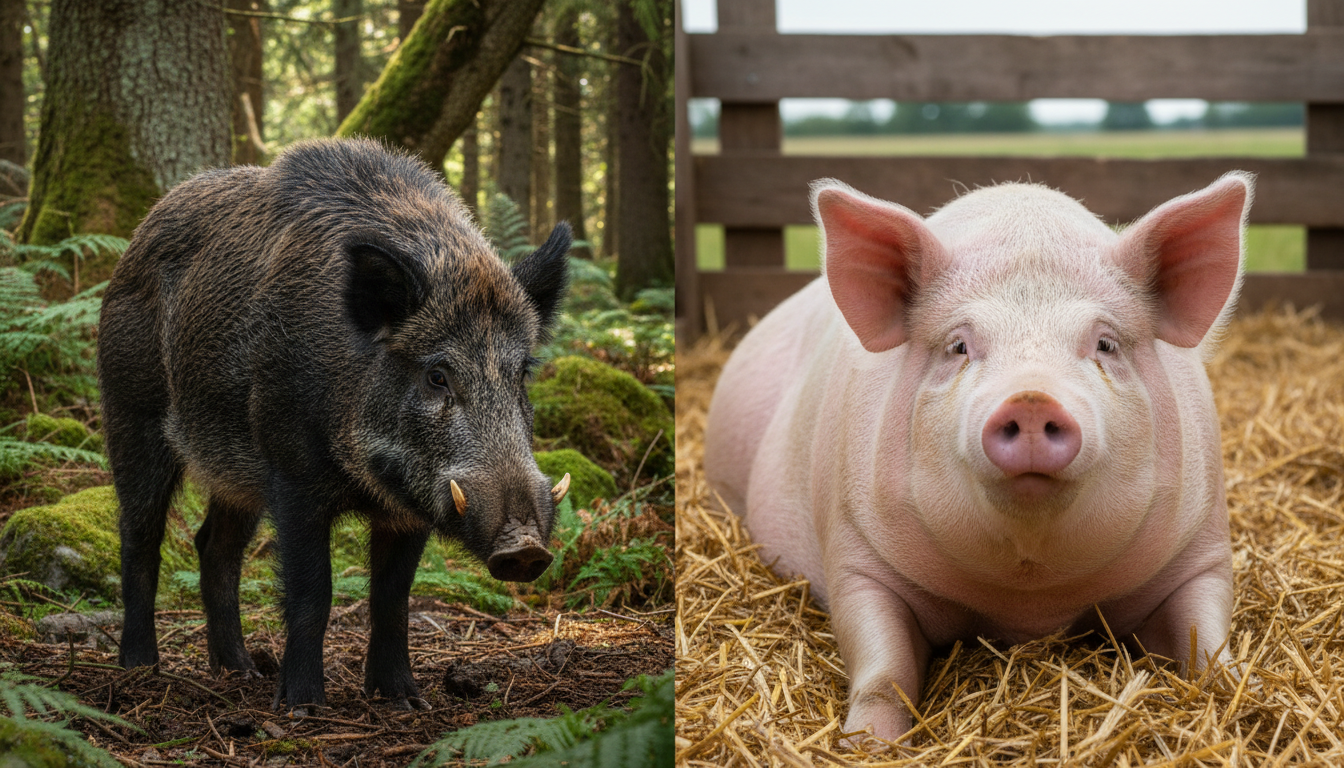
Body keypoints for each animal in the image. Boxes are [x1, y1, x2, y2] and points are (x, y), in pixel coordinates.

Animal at [97, 138, 572, 712]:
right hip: (131, 412)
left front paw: (405, 700)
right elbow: (312, 593)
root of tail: (139, 235)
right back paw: (140, 666)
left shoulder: (407, 508)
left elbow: (392, 599)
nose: (525, 548)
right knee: (140, 535)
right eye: (437, 374)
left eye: (521, 372)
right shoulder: (293, 475)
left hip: (236, 473)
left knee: (214, 546)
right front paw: (302, 705)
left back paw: (241, 672)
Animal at [704, 173, 1251, 744]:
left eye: (1105, 343)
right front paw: (867, 742)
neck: (1029, 600)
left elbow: (1207, 644)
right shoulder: (855, 548)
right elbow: (882, 666)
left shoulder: (1201, 542)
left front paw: (1244, 696)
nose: (1031, 400)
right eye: (958, 346)